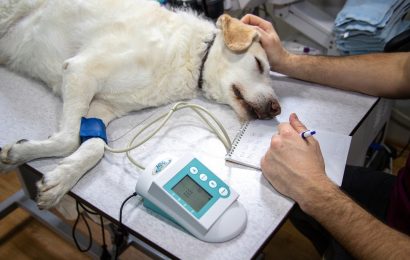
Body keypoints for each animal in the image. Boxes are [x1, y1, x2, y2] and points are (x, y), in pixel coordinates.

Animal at [0, 0, 280, 209]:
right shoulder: (81, 70)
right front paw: (22, 154)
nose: (277, 109)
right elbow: (68, 140)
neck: (193, 56)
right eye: (259, 64)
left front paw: (59, 178)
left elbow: (95, 146)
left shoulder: (102, 107)